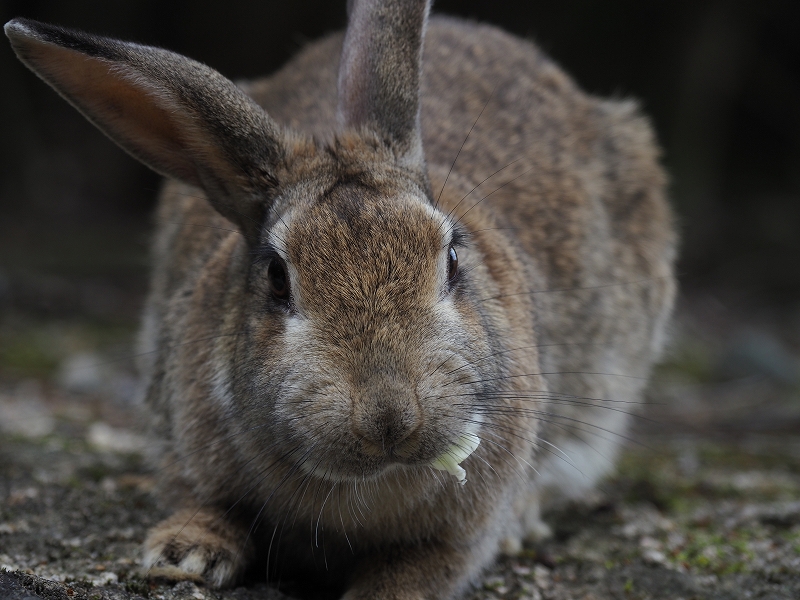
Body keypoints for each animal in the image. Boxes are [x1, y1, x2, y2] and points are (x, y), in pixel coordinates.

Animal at [4, 2, 676, 596]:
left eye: (452, 257)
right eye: (277, 276)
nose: (390, 419)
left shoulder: (462, 534)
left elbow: (420, 572)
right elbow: (206, 504)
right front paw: (183, 556)